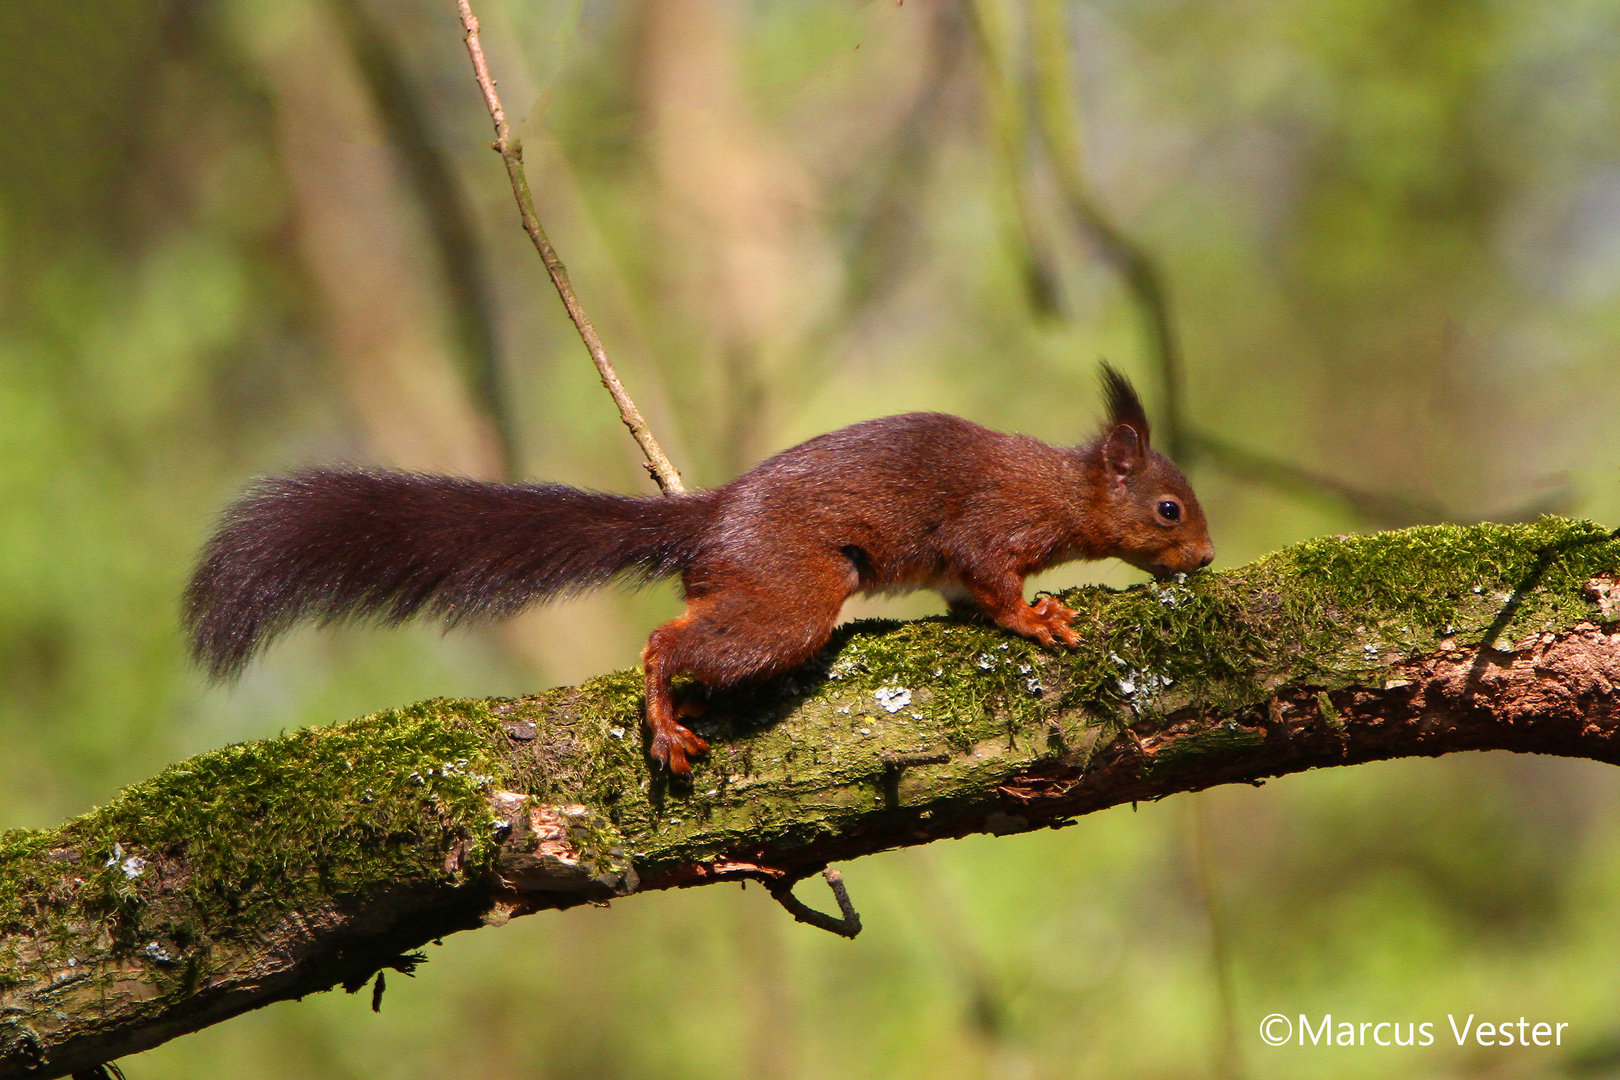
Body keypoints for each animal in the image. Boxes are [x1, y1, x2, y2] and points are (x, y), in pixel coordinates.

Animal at [183, 367, 1211, 773]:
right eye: (1169, 508)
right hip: (795, 592)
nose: (1203, 557)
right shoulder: (993, 528)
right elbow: (990, 583)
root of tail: (713, 517)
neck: (1067, 492)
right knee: (670, 638)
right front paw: (1039, 620)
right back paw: (665, 711)